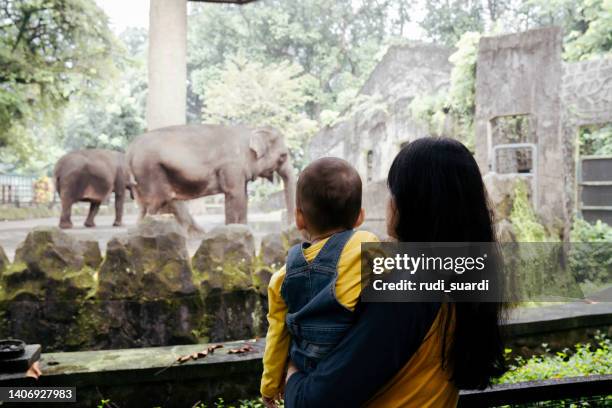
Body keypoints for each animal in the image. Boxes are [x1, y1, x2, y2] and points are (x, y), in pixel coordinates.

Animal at [125, 124, 296, 231]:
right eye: (283, 156)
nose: (288, 228)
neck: (251, 129)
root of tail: (130, 148)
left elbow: (243, 195)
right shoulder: (231, 167)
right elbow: (236, 195)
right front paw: (235, 230)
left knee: (143, 207)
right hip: (149, 171)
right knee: (155, 203)